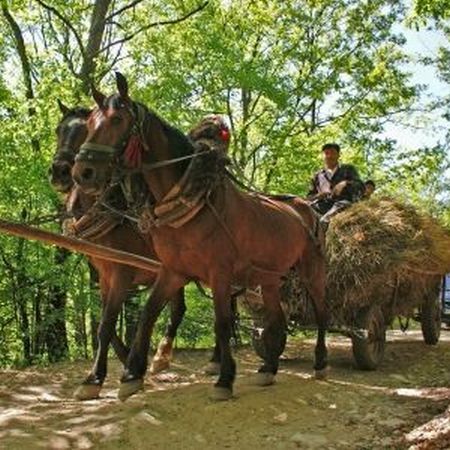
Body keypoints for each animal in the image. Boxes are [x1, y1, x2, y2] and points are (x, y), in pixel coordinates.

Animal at [49, 104, 200, 400]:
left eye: (85, 130)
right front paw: (124, 358)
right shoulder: (104, 275)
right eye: (59, 129)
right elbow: (103, 323)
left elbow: (107, 323)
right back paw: (161, 356)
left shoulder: (122, 272)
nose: (60, 171)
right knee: (178, 307)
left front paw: (95, 378)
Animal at [72, 73, 328, 400]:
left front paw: (224, 379)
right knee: (276, 320)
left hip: (311, 271)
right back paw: (269, 368)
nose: (82, 172)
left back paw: (320, 363)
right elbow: (147, 314)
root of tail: (306, 207)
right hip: (269, 278)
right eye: (90, 123)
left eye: (117, 120)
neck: (191, 202)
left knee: (321, 314)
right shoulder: (173, 271)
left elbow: (222, 323)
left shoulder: (219, 272)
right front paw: (131, 374)